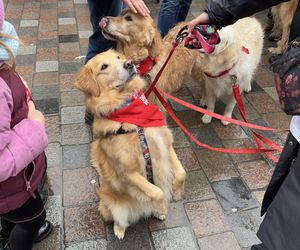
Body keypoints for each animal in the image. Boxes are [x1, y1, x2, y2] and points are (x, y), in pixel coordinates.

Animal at [73, 49, 185, 239]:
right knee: (119, 220)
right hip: (109, 205)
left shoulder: (165, 143)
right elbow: (156, 191)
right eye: (104, 66)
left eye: (119, 58)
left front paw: (176, 192)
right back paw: (120, 230)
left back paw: (156, 212)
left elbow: (181, 173)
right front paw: (162, 206)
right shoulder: (127, 172)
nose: (129, 63)